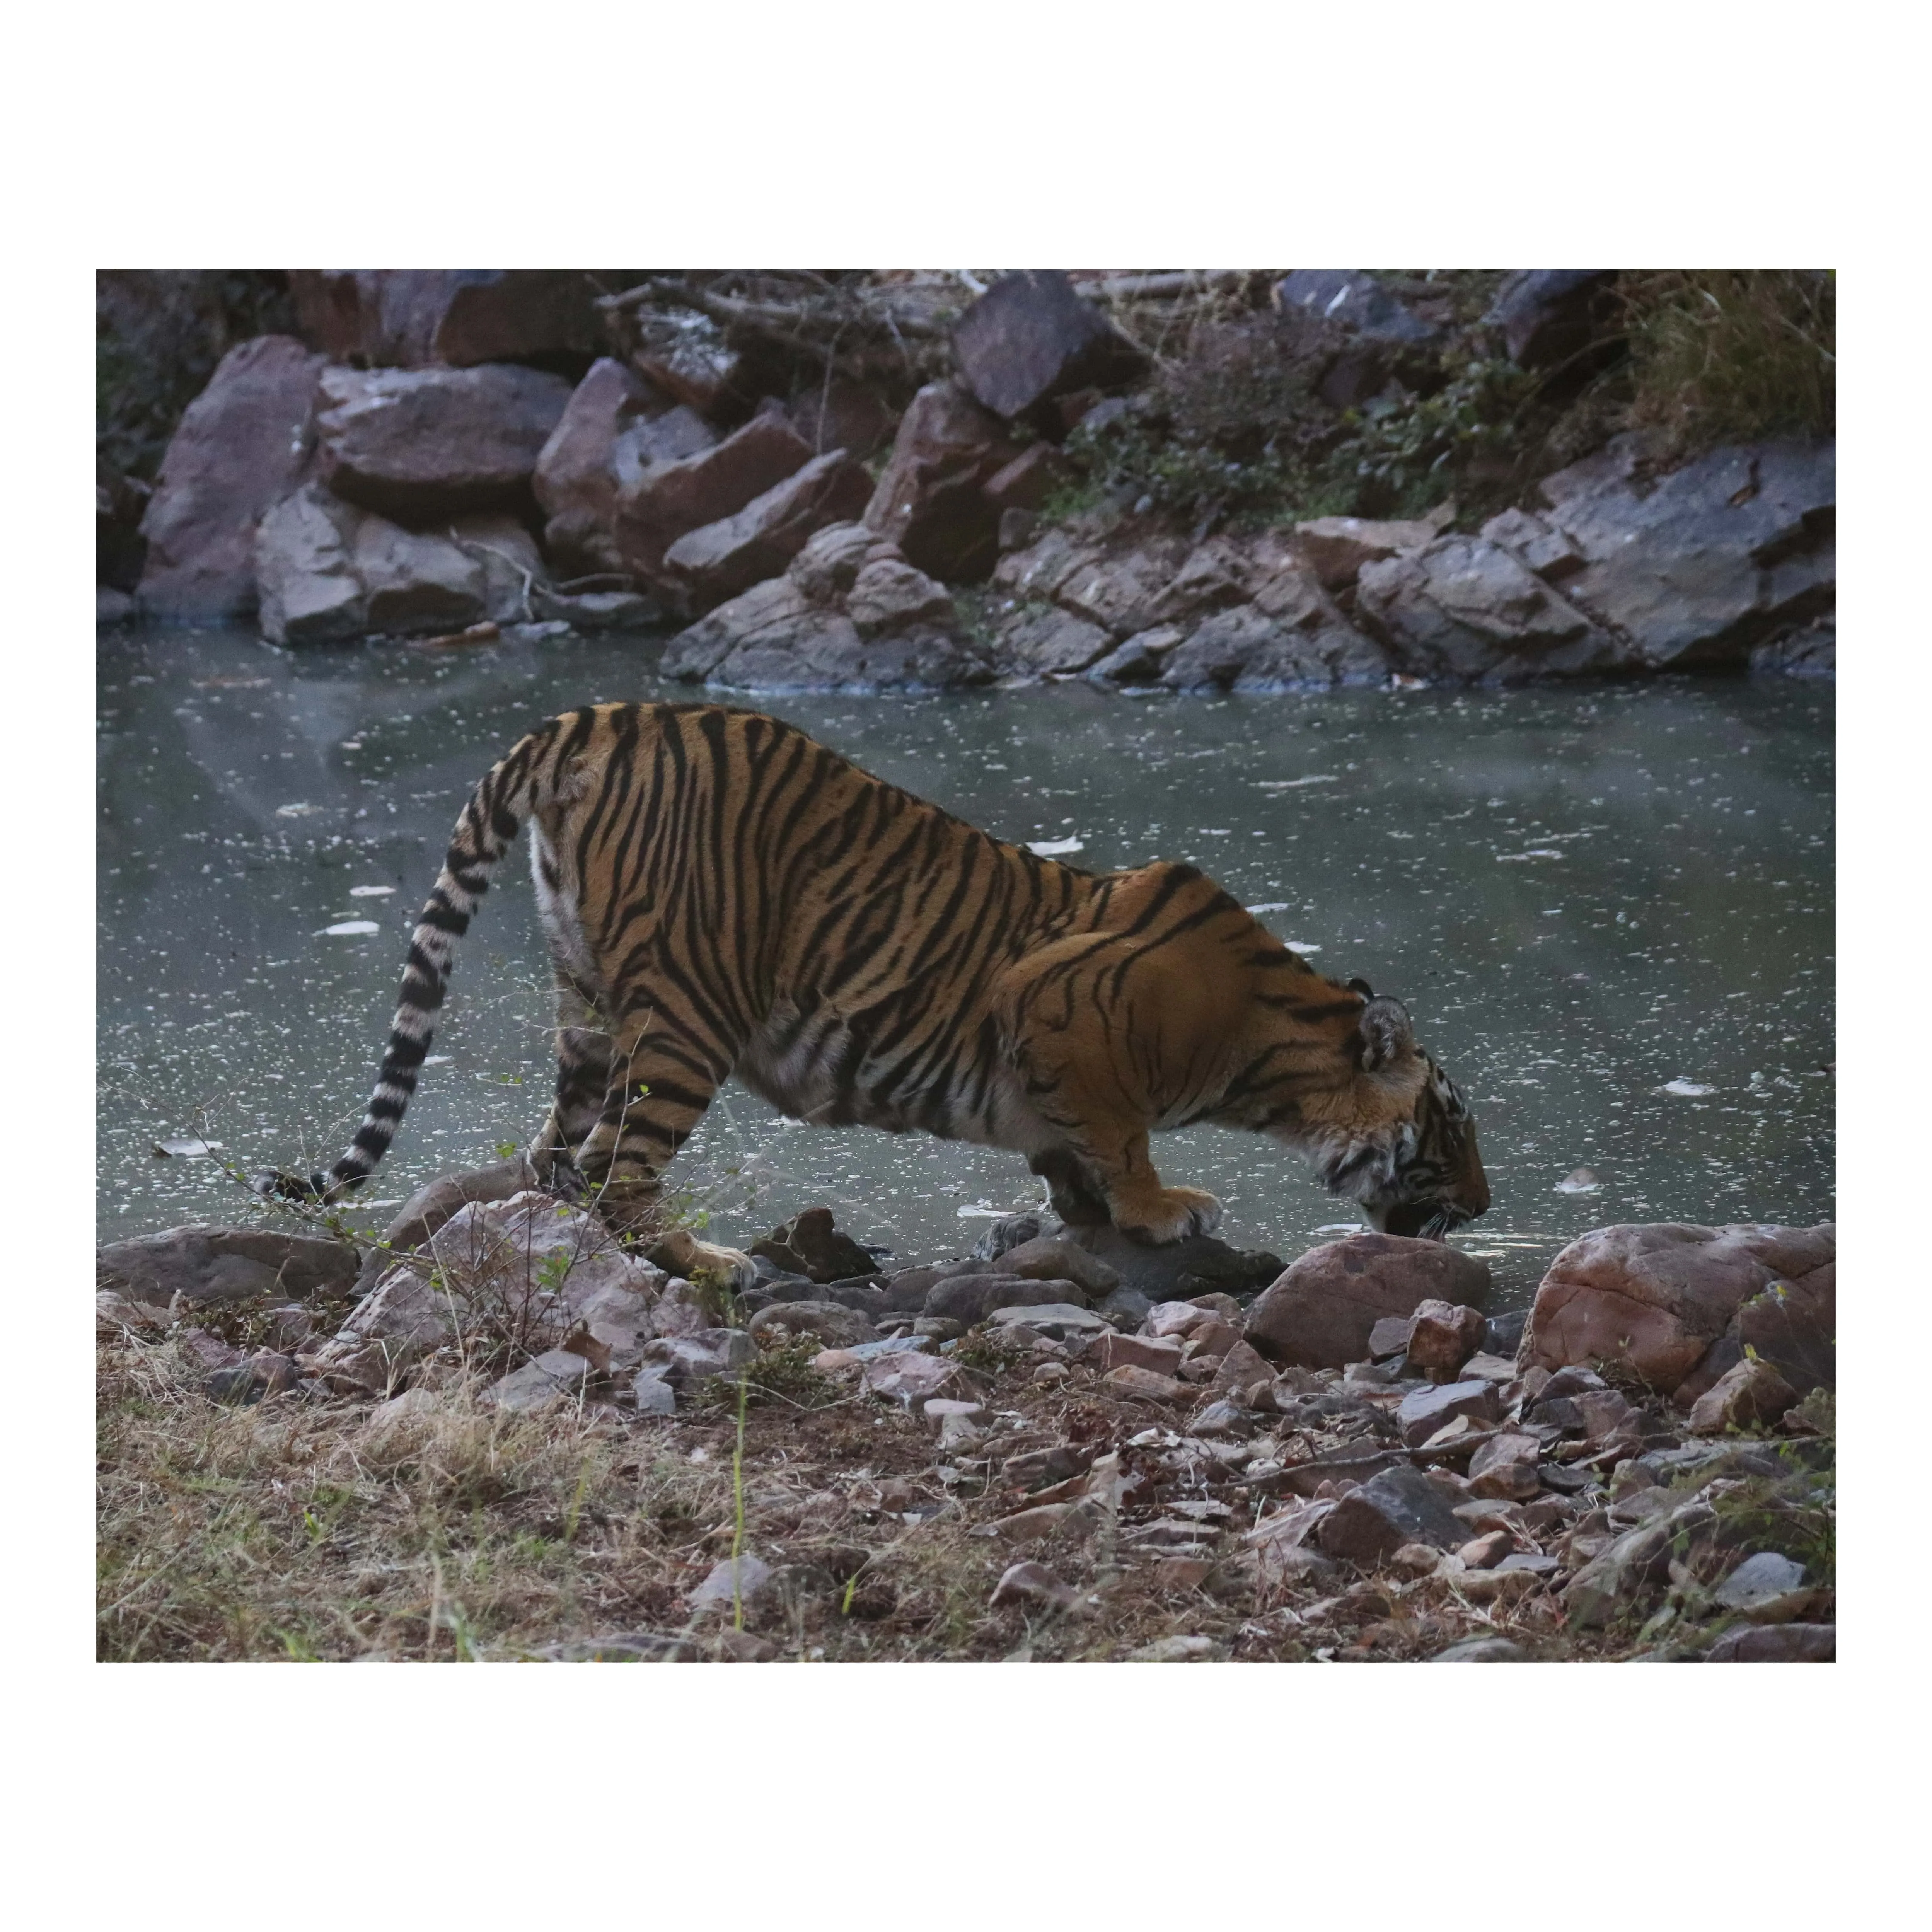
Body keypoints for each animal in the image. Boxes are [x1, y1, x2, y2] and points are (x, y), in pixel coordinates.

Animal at [263, 701, 1489, 1285]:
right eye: (1449, 1124)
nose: (1482, 1208)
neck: (1267, 1036)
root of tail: (599, 716)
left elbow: (1071, 1149)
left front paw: (1082, 1213)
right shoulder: (1052, 999)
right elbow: (1121, 1133)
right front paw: (1158, 1208)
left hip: (587, 1001)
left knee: (556, 1156)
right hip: (689, 1012)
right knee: (617, 1167)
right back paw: (709, 1263)